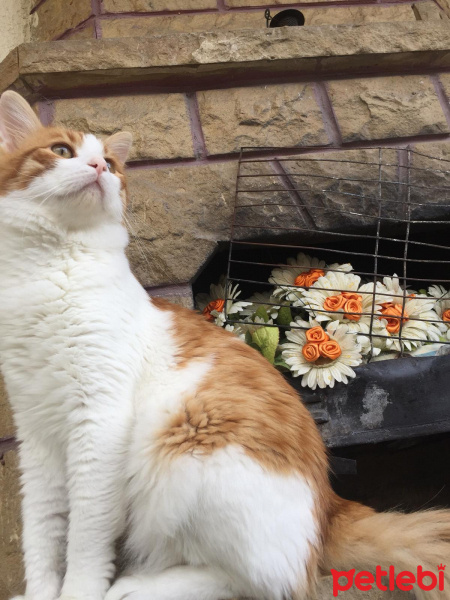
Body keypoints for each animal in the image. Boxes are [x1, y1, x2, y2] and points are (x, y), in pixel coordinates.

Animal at [0, 89, 448, 600]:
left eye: (109, 163)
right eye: (62, 151)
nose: (97, 168)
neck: (53, 269)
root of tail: (330, 505)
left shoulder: (98, 423)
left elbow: (85, 539)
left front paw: (78, 592)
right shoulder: (37, 437)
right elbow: (43, 534)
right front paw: (40, 593)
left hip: (188, 446)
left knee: (253, 580)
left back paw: (135, 587)